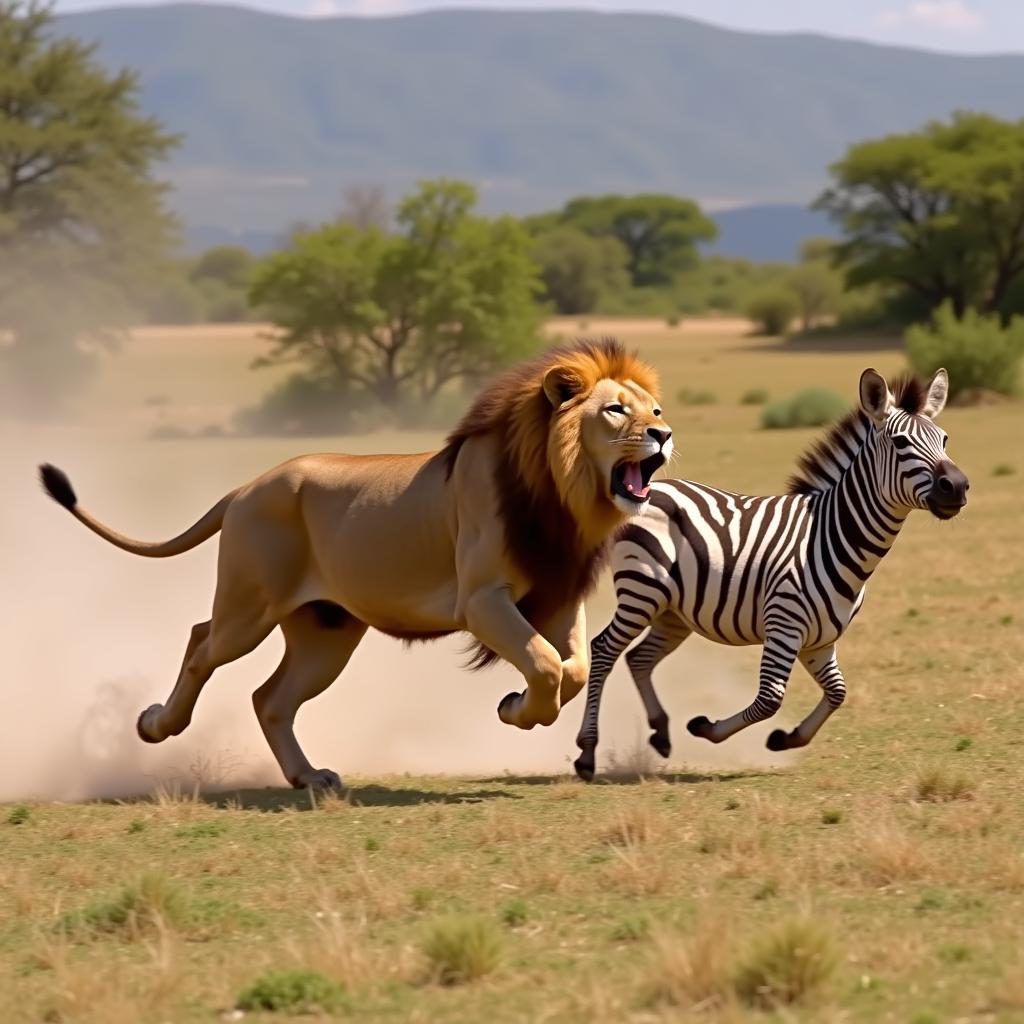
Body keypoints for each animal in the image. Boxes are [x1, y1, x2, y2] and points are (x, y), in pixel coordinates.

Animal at [41, 339, 671, 786]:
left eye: (656, 409)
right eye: (617, 411)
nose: (664, 434)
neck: (561, 498)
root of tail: (246, 487)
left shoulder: (558, 595)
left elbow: (572, 667)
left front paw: (517, 707)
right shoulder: (481, 599)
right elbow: (543, 662)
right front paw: (519, 708)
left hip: (327, 633)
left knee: (269, 698)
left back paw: (308, 778)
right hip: (249, 608)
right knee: (201, 642)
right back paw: (156, 725)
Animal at [577, 364, 966, 778]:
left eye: (944, 439)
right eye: (900, 443)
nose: (957, 486)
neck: (830, 535)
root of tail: (649, 490)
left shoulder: (819, 640)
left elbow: (838, 692)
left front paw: (787, 738)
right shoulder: (784, 624)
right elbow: (770, 698)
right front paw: (708, 728)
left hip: (673, 612)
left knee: (639, 659)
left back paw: (661, 733)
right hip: (641, 592)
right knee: (604, 649)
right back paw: (587, 751)